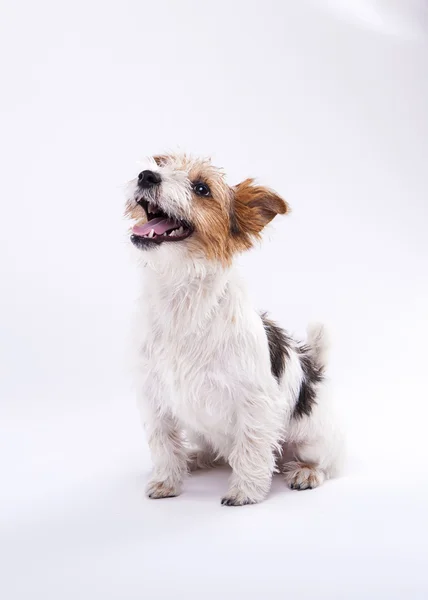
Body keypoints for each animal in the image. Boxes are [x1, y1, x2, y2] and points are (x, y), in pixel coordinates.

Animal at [125, 152, 342, 504]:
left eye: (202, 188)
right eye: (161, 165)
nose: (146, 175)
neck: (180, 293)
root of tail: (314, 369)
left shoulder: (254, 401)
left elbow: (251, 446)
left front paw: (245, 491)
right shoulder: (154, 398)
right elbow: (163, 443)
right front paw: (167, 480)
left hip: (311, 436)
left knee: (323, 462)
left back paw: (305, 472)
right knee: (217, 452)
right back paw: (194, 457)